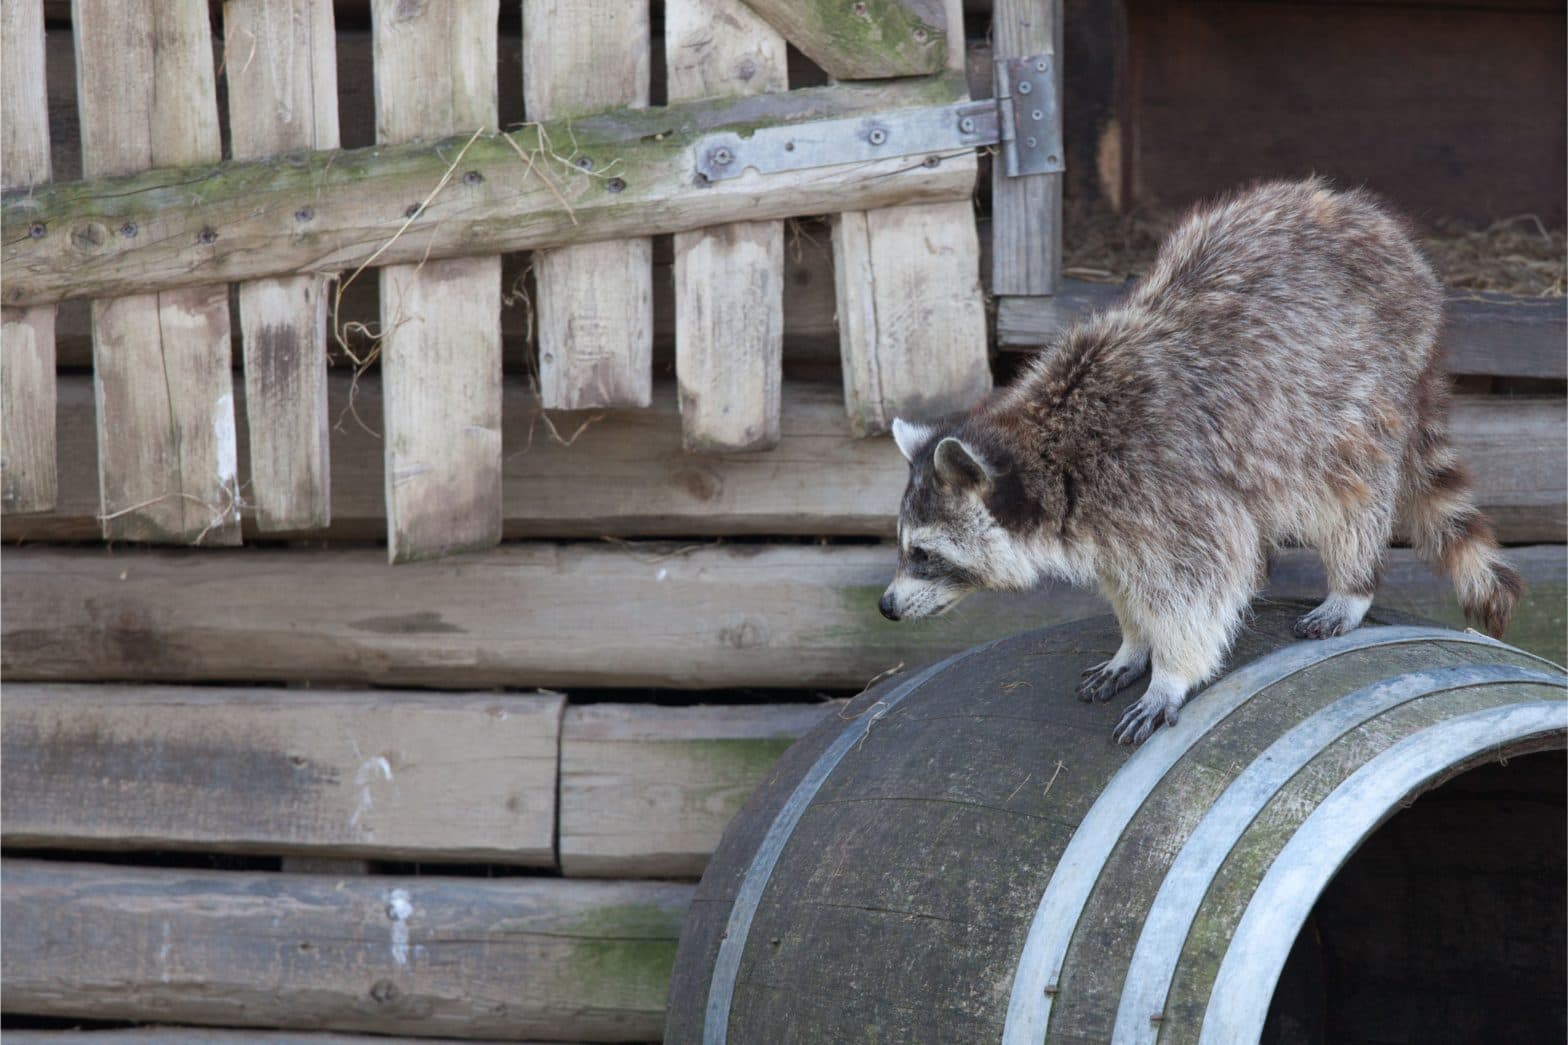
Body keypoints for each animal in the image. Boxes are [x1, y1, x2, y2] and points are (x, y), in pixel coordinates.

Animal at [880, 178, 1523, 745]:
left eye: (924, 553)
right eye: (904, 545)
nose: (886, 607)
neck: (1053, 452)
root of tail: (1385, 232)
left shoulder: (1164, 482)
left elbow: (1199, 581)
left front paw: (1171, 673)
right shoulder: (1111, 520)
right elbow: (1131, 582)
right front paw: (1134, 642)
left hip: (1358, 393)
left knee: (1349, 493)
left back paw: (1353, 582)